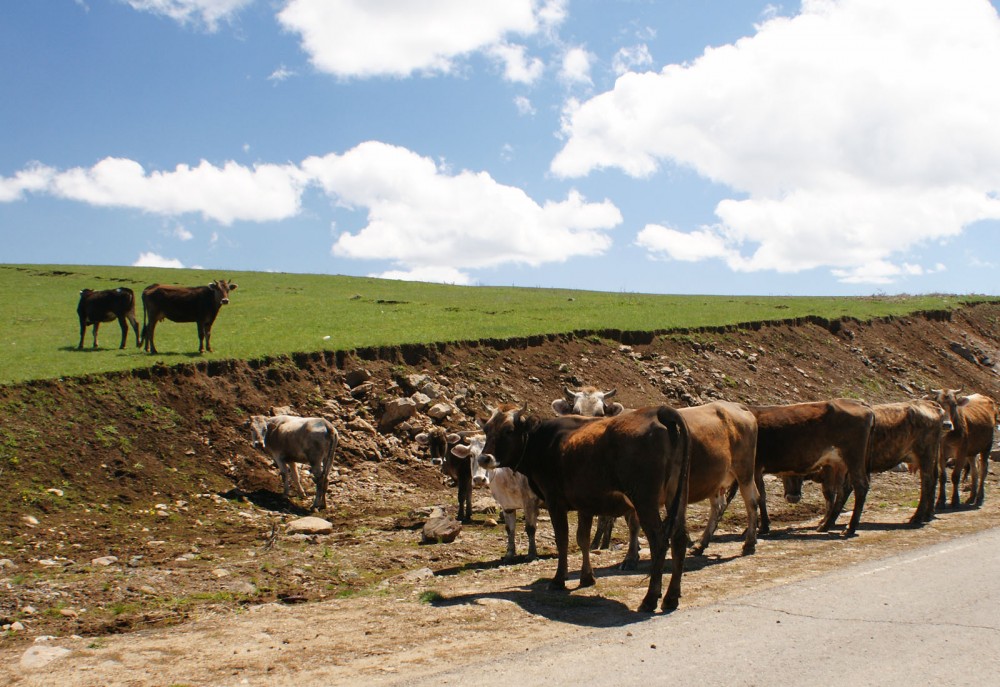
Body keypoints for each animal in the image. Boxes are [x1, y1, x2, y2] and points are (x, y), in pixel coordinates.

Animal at [476, 404, 688, 612]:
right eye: (486, 430)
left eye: (508, 430)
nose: (484, 458)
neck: (543, 441)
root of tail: (659, 412)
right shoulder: (584, 503)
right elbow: (582, 539)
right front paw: (586, 577)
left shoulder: (555, 501)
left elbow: (562, 540)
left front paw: (558, 580)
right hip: (675, 499)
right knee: (678, 539)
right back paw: (671, 598)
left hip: (644, 501)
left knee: (659, 541)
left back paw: (650, 599)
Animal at [748, 400, 872, 540]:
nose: (793, 497)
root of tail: (859, 403)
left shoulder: (755, 468)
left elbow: (760, 496)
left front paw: (762, 527)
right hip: (838, 463)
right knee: (843, 490)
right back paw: (826, 525)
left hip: (853, 457)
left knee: (860, 486)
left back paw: (849, 528)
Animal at [780, 398, 952, 528]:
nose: (792, 497)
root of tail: (930, 404)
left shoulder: (834, 470)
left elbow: (831, 494)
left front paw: (826, 521)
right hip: (931, 456)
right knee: (933, 478)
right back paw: (928, 514)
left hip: (925, 455)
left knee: (927, 481)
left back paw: (917, 517)